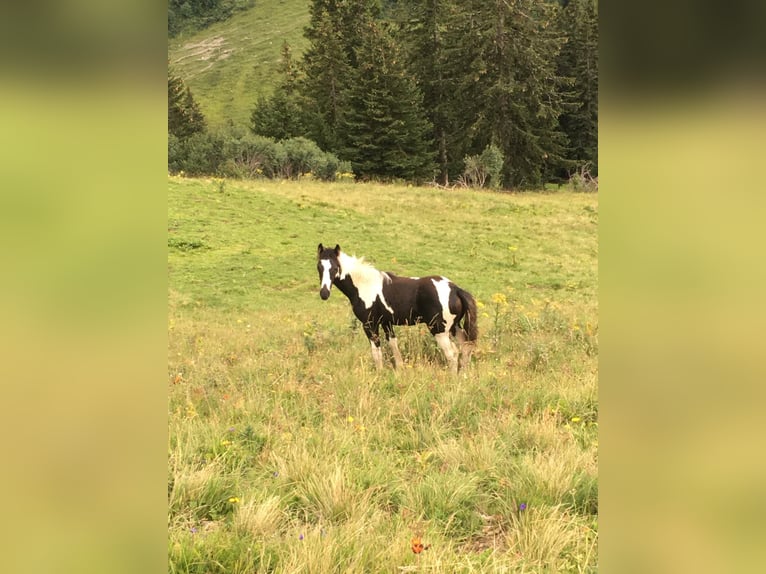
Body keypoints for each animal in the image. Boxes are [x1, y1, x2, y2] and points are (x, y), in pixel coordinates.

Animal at [316, 245, 476, 376]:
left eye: (335, 267)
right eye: (319, 266)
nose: (324, 293)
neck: (365, 285)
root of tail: (455, 289)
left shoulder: (370, 324)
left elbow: (376, 352)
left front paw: (379, 374)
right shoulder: (386, 323)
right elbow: (394, 347)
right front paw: (399, 371)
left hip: (439, 330)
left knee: (452, 354)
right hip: (454, 327)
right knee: (465, 347)